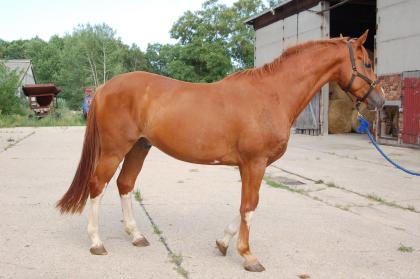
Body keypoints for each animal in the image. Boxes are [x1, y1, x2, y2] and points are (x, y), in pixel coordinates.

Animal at [56, 31, 384, 274]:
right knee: (98, 186)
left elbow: (244, 207)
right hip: (115, 149)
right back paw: (97, 243)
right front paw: (248, 257)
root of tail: (103, 88)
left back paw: (136, 236)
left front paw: (223, 243)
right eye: (367, 63)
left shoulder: (251, 166)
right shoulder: (255, 163)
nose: (380, 100)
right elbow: (249, 207)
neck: (272, 94)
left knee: (125, 185)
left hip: (139, 147)